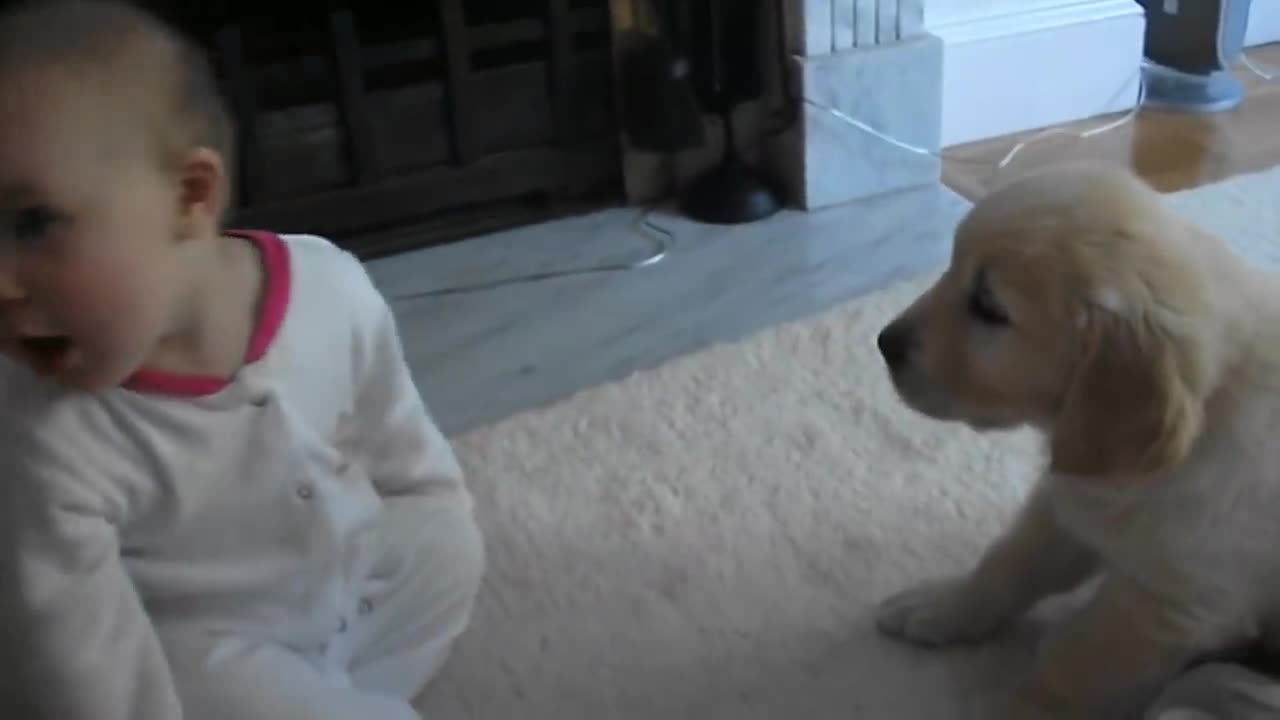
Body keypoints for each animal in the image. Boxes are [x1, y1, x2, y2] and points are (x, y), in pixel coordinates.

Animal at [875, 163, 1280, 717]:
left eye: (988, 307)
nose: (884, 343)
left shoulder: (1171, 605)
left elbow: (1070, 668)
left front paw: (1018, 709)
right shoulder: (1073, 502)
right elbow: (1007, 564)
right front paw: (943, 605)